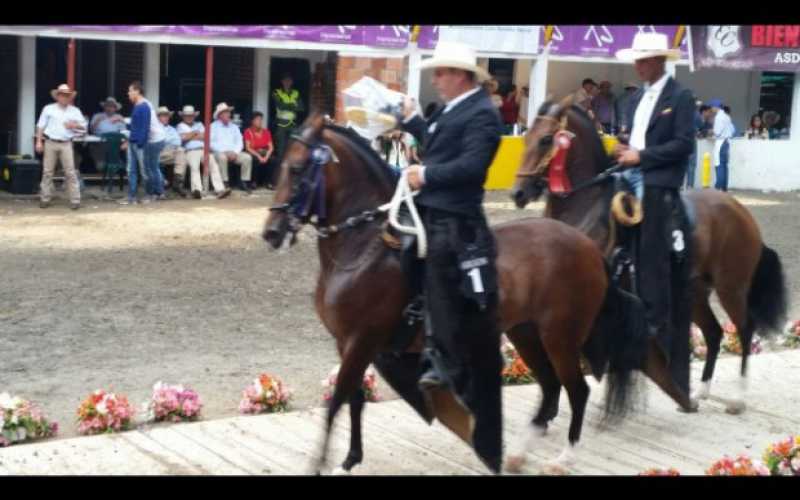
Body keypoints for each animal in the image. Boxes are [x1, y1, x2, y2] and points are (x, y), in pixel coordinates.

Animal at [262, 114, 692, 476]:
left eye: (297, 169)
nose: (271, 232)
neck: (365, 245)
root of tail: (585, 247)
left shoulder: (362, 341)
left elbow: (337, 401)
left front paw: (320, 464)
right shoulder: (349, 343)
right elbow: (352, 400)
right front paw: (349, 460)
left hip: (560, 336)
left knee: (577, 389)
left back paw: (562, 457)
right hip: (525, 333)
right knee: (551, 387)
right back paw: (517, 453)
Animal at [512, 100, 788, 414]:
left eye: (547, 139)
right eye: (527, 136)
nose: (518, 193)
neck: (586, 208)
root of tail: (741, 211)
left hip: (731, 288)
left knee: (744, 329)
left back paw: (737, 399)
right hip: (695, 292)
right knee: (714, 332)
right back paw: (699, 393)